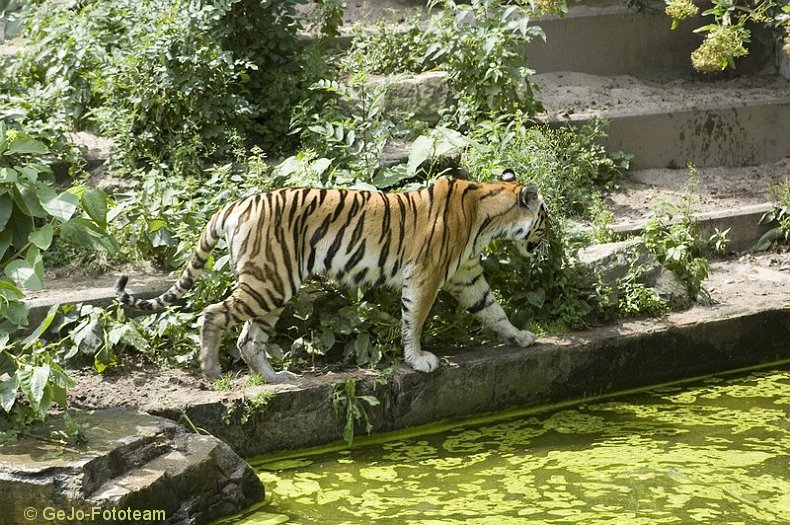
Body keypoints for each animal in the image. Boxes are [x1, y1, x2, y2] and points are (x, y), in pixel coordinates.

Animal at [116, 171, 552, 380]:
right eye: (545, 220)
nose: (550, 240)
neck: (487, 219)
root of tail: (237, 203)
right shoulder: (426, 276)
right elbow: (414, 320)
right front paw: (419, 361)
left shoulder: (466, 275)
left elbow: (493, 309)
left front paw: (521, 337)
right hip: (268, 282)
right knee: (214, 313)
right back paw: (210, 368)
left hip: (272, 285)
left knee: (248, 339)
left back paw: (277, 379)